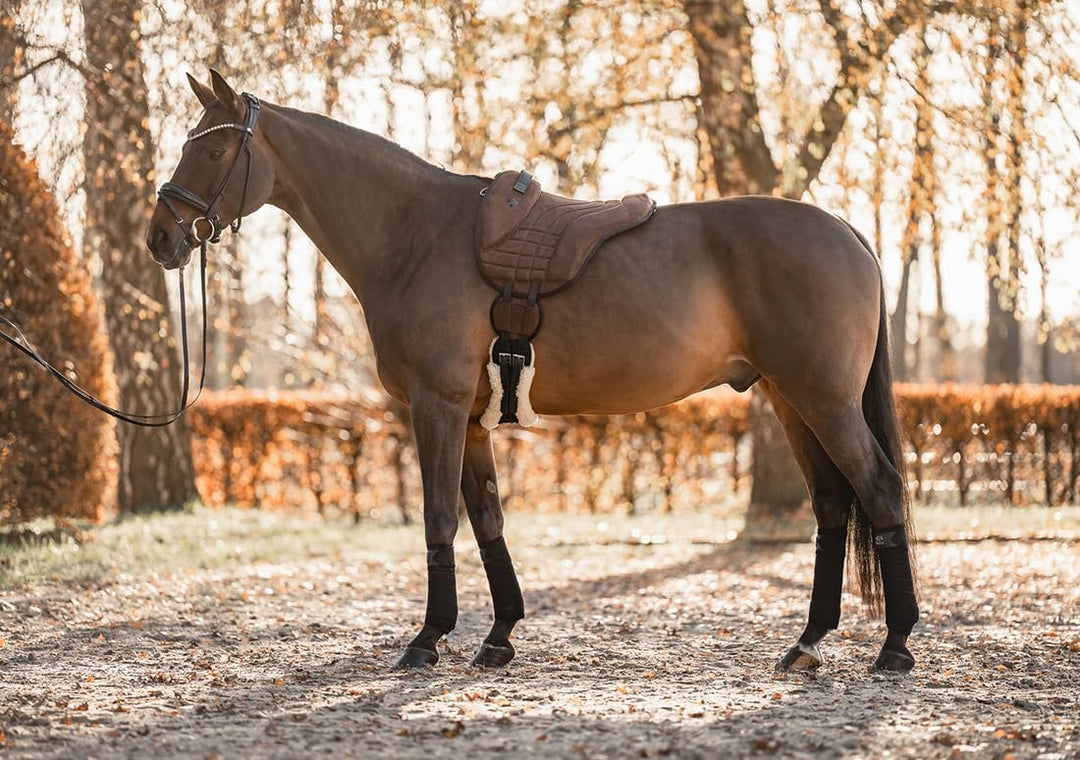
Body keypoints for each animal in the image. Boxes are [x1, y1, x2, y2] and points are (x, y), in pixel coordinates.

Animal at [146, 70, 919, 674]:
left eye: (212, 146)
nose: (160, 237)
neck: (416, 235)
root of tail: (847, 231)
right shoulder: (469, 417)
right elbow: (487, 517)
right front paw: (498, 637)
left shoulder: (435, 406)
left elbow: (439, 517)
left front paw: (427, 640)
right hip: (793, 401)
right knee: (832, 505)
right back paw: (808, 643)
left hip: (825, 402)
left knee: (879, 491)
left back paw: (895, 646)